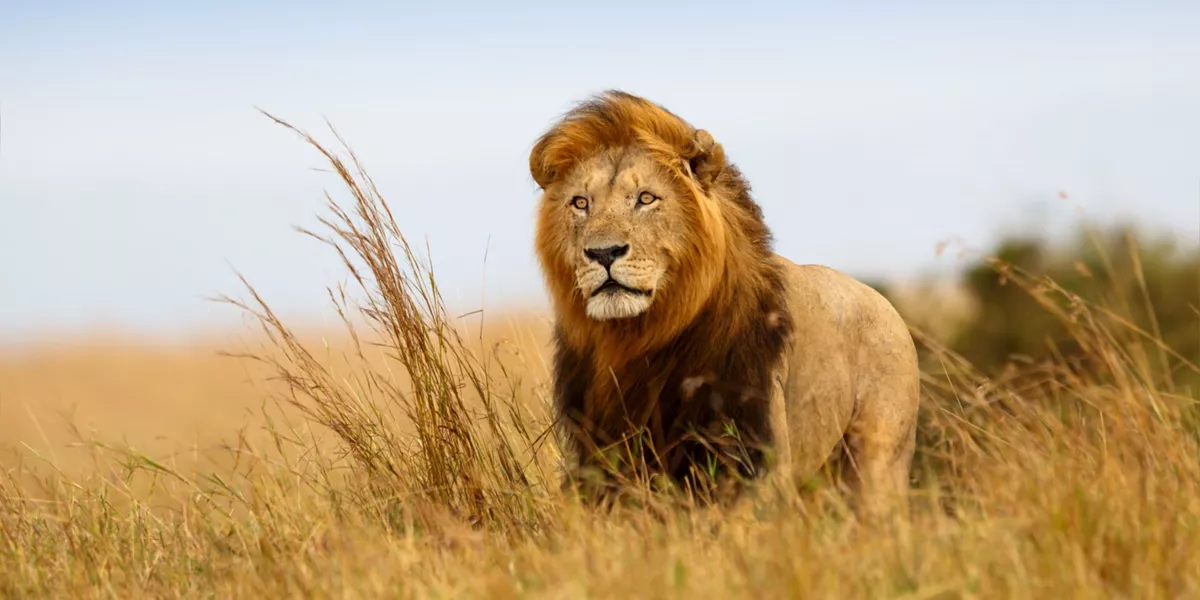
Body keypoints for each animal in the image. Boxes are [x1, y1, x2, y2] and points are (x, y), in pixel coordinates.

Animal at [528, 90, 920, 517]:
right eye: (580, 203)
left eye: (646, 198)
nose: (603, 253)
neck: (637, 338)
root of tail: (886, 305)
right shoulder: (601, 455)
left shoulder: (754, 454)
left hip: (878, 461)